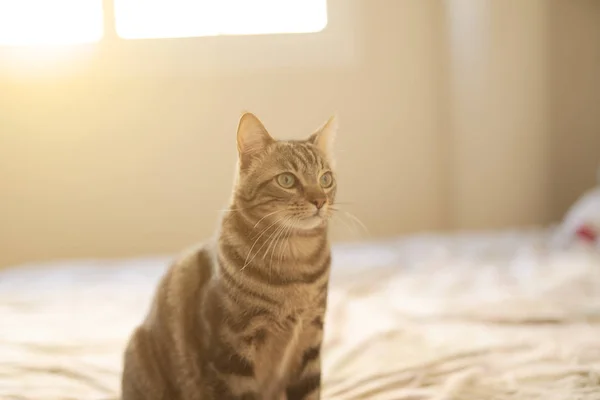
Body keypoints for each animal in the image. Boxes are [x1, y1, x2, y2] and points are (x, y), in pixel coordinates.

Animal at [120, 112, 338, 400]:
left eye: (326, 179)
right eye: (287, 180)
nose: (320, 200)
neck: (295, 263)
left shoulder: (310, 339)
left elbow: (309, 392)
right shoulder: (231, 349)